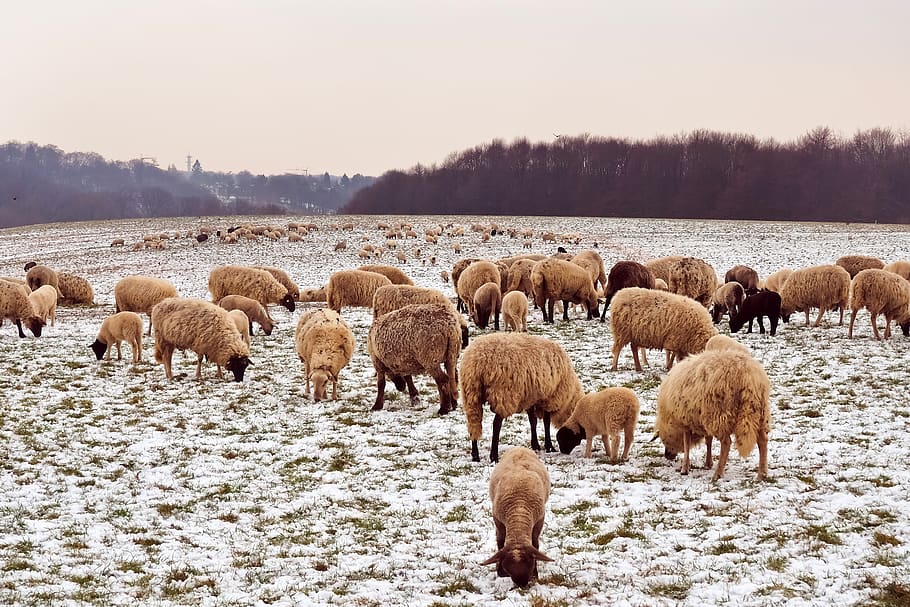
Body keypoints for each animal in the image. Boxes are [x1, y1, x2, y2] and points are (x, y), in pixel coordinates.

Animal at [461, 333, 584, 462]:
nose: (564, 451)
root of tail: (478, 361)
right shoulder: (550, 397)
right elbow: (546, 422)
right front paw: (549, 446)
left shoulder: (531, 398)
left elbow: (533, 421)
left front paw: (536, 445)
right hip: (503, 394)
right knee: (496, 424)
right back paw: (494, 456)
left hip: (471, 395)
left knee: (473, 423)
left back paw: (475, 455)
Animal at [480, 447, 553, 587]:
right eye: (508, 568)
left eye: (530, 565)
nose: (522, 585)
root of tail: (520, 447)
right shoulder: (498, 520)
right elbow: (500, 542)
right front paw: (500, 572)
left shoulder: (539, 521)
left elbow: (535, 544)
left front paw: (535, 575)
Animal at [655, 349, 771, 481]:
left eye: (664, 439)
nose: (667, 455)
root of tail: (747, 375)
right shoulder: (701, 418)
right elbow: (708, 441)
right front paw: (708, 463)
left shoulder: (686, 420)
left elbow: (686, 443)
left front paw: (685, 468)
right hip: (759, 412)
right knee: (763, 440)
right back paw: (762, 473)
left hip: (719, 414)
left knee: (726, 443)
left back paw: (718, 473)